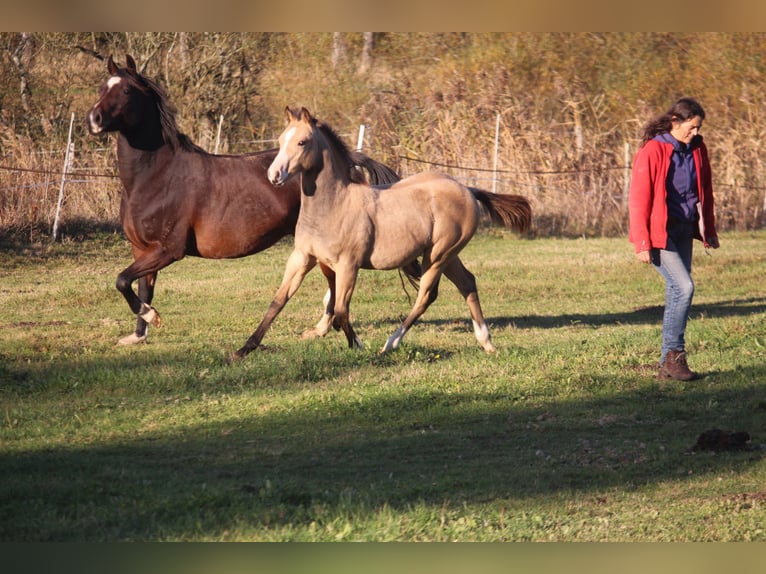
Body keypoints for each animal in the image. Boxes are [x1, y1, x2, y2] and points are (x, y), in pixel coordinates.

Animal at [88, 57, 404, 346]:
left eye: (126, 90)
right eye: (103, 87)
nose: (94, 119)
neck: (158, 177)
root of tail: (348, 163)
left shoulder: (168, 250)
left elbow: (122, 280)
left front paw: (151, 316)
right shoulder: (141, 249)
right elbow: (141, 287)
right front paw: (138, 334)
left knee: (334, 280)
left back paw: (323, 328)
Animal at [234, 108, 536, 360]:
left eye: (302, 142)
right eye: (281, 138)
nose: (274, 175)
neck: (333, 206)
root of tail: (468, 190)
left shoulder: (348, 265)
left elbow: (340, 309)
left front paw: (357, 346)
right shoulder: (303, 258)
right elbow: (278, 301)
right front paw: (243, 350)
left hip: (439, 255)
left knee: (426, 295)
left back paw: (390, 344)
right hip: (447, 256)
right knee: (467, 283)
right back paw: (486, 342)